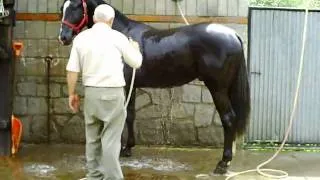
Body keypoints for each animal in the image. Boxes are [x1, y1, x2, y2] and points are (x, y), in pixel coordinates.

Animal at [58, 0, 251, 174]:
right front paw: (128, 148)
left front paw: (120, 150)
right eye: (62, 8)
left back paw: (223, 164)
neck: (122, 34)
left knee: (228, 119)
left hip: (217, 89)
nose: (63, 37)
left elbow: (123, 115)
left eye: (76, 6)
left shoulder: (124, 85)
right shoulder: (132, 86)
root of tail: (233, 35)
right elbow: (130, 115)